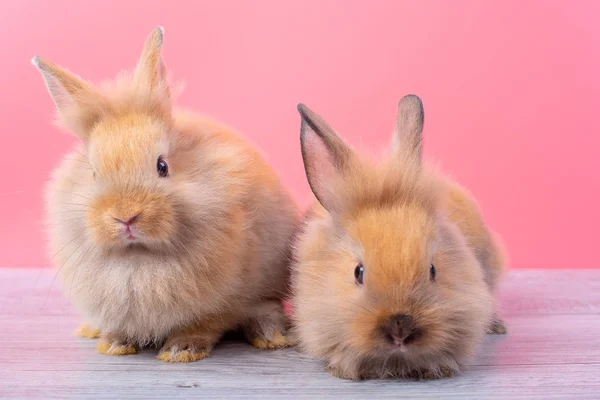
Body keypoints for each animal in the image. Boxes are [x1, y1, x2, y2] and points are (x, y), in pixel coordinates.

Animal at [30, 27, 298, 362]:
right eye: (92, 172)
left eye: (162, 166)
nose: (126, 217)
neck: (138, 258)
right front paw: (114, 344)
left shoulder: (223, 298)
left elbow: (206, 323)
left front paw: (180, 350)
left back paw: (271, 337)